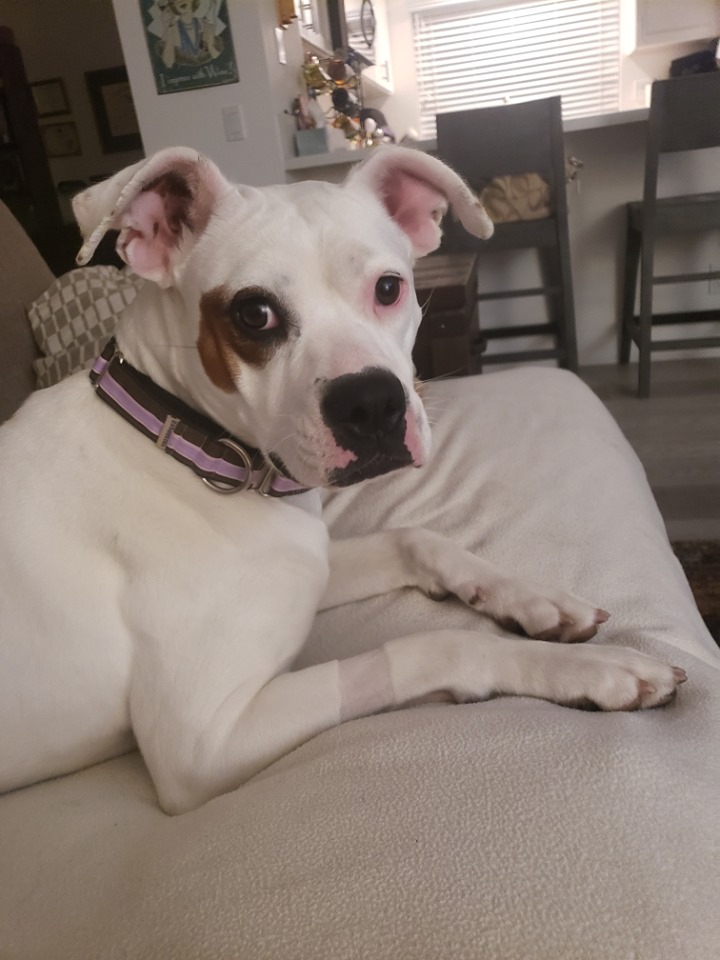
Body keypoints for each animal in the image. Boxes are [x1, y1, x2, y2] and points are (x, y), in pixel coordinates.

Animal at [0, 146, 686, 814]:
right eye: (254, 314)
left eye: (389, 287)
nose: (372, 404)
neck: (185, 442)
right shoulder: (203, 743)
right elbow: (434, 647)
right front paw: (593, 670)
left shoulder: (317, 565)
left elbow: (415, 538)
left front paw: (536, 599)